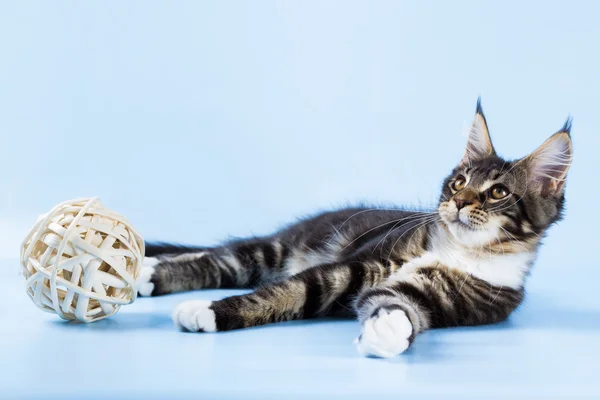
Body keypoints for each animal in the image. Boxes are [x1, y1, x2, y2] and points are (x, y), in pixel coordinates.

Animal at [138, 101, 576, 358]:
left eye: (498, 192)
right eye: (458, 183)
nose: (458, 203)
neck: (460, 250)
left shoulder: (439, 296)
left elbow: (399, 306)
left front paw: (388, 328)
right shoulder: (355, 266)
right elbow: (282, 292)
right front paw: (207, 311)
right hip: (277, 249)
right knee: (220, 259)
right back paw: (150, 270)